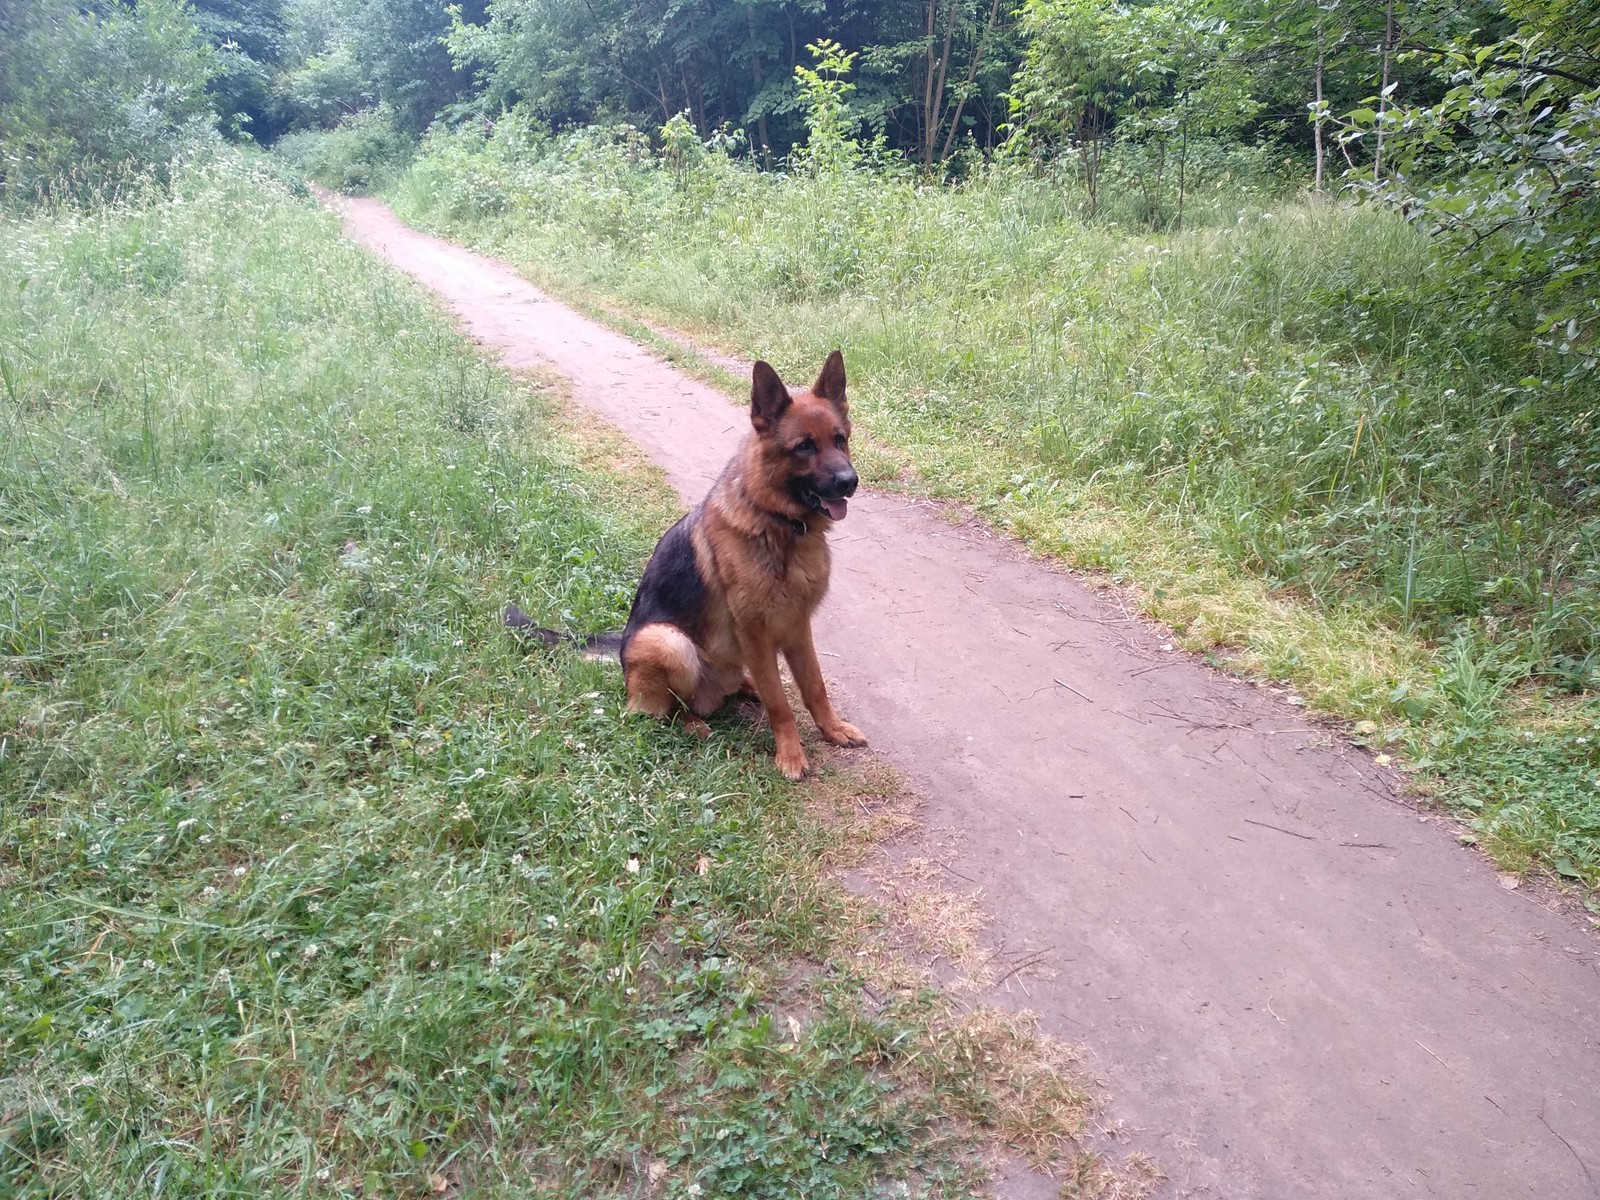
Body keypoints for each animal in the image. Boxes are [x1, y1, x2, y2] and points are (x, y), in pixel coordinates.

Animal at [508, 350, 864, 780]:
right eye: (804, 447)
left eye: (839, 440)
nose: (849, 482)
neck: (779, 526)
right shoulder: (756, 632)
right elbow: (780, 703)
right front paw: (791, 755)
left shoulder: (797, 627)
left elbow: (814, 687)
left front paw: (832, 729)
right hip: (666, 642)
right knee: (660, 710)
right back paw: (694, 723)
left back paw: (744, 687)